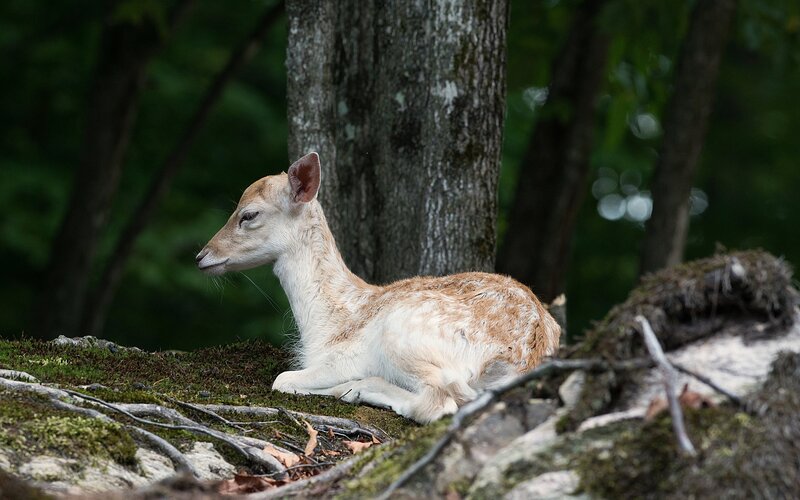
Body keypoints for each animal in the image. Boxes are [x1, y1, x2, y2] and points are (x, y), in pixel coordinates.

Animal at [196, 152, 561, 423]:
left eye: (249, 215)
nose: (202, 256)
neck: (324, 324)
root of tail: (523, 359)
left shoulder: (343, 356)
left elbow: (282, 379)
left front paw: (343, 387)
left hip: (401, 334)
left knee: (441, 402)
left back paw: (357, 389)